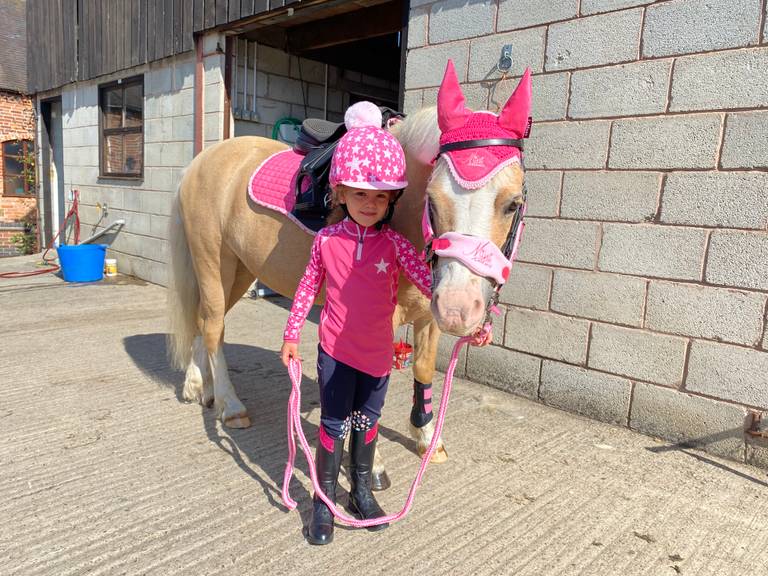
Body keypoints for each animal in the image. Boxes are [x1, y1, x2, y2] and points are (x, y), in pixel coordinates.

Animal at [166, 60, 532, 485]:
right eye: (433, 199)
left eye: (512, 204)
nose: (459, 308)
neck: (400, 214)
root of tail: (201, 161)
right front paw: (372, 467)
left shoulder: (429, 313)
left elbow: (423, 368)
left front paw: (427, 438)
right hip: (212, 259)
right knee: (211, 326)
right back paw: (230, 404)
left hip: (239, 269)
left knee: (204, 320)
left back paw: (200, 388)